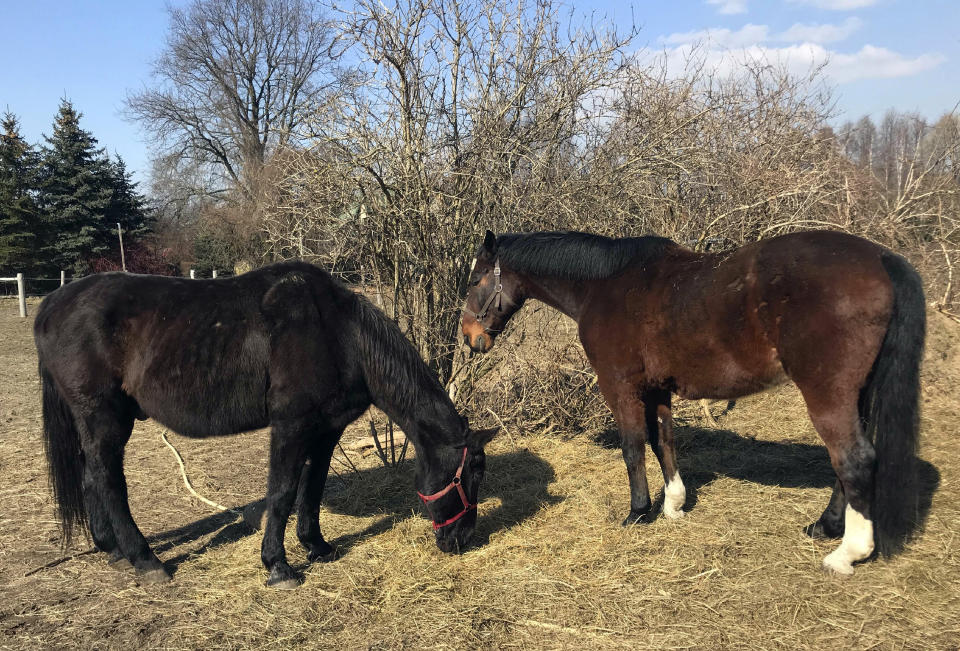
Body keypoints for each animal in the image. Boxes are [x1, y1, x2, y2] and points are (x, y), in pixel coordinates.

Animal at [36, 262, 496, 592]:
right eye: (472, 473)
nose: (462, 540)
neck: (337, 332)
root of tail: (54, 302)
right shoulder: (291, 425)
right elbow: (282, 491)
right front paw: (278, 566)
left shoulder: (327, 429)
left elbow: (312, 488)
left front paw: (317, 546)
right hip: (104, 417)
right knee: (107, 480)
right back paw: (146, 560)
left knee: (92, 476)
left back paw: (112, 549)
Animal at [462, 230, 928, 576]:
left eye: (475, 279)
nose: (470, 338)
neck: (606, 286)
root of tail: (881, 258)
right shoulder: (658, 389)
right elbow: (663, 442)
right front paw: (674, 504)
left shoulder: (621, 387)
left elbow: (633, 447)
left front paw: (638, 512)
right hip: (855, 395)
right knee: (846, 465)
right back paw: (825, 527)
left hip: (826, 393)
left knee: (853, 460)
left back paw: (847, 553)